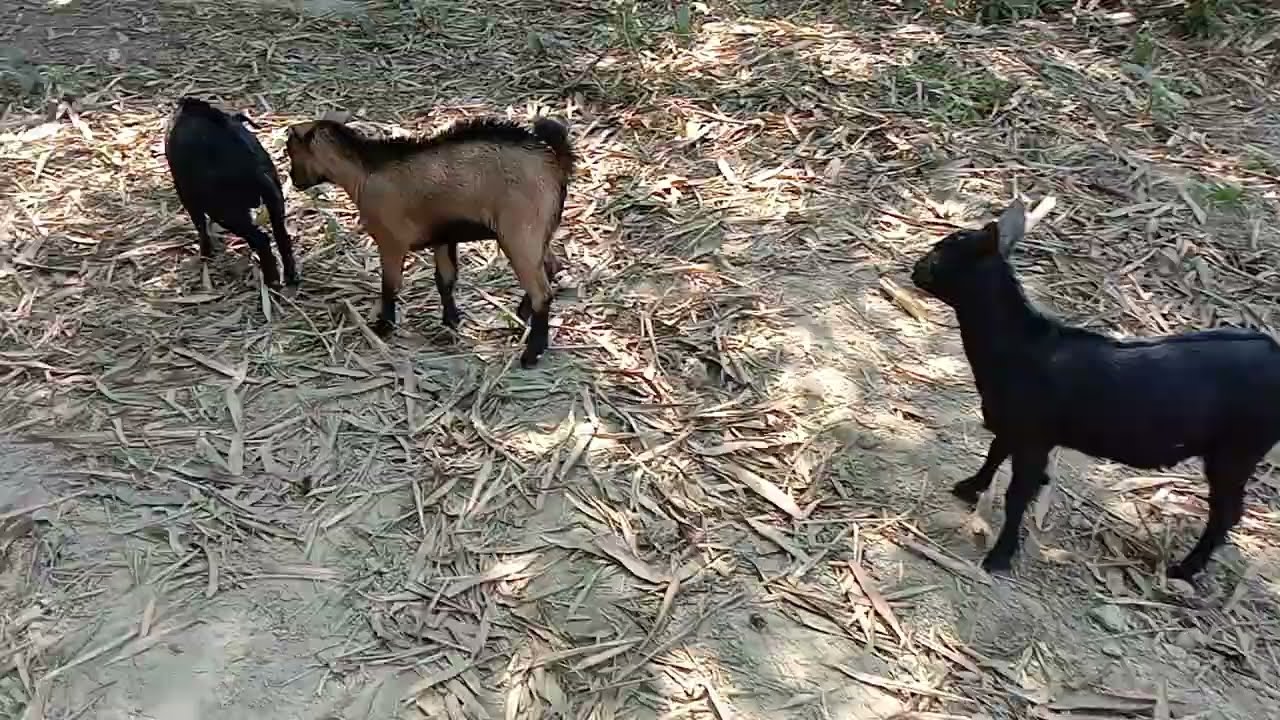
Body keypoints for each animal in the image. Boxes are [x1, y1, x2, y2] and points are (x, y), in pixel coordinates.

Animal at [164, 96, 298, 288]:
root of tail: (252, 167)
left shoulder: (188, 196)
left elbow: (200, 227)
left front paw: (205, 254)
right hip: (274, 201)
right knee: (281, 236)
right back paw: (290, 276)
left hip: (225, 211)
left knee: (262, 239)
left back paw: (271, 281)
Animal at [283, 114, 574, 368]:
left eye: (290, 151)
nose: (294, 181)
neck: (366, 171)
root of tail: (556, 162)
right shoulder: (443, 237)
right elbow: (445, 280)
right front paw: (450, 321)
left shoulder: (391, 240)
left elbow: (390, 285)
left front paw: (383, 327)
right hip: (536, 233)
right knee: (551, 266)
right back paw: (523, 314)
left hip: (519, 233)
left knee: (542, 292)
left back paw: (531, 354)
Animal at [911, 198, 1280, 581]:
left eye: (941, 253)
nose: (916, 268)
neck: (1018, 345)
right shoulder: (1013, 425)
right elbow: (994, 453)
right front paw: (971, 487)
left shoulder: (1033, 437)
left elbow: (1017, 495)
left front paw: (1000, 556)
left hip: (1236, 452)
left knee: (1226, 512)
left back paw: (1184, 569)